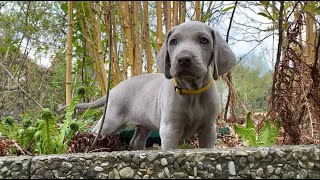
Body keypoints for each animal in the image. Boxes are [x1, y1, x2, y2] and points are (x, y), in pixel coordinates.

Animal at [60, 21, 235, 150]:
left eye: (204, 40)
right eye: (173, 42)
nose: (183, 58)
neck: (192, 91)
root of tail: (114, 89)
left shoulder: (209, 129)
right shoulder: (170, 129)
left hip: (144, 124)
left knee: (135, 141)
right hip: (111, 120)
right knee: (96, 130)